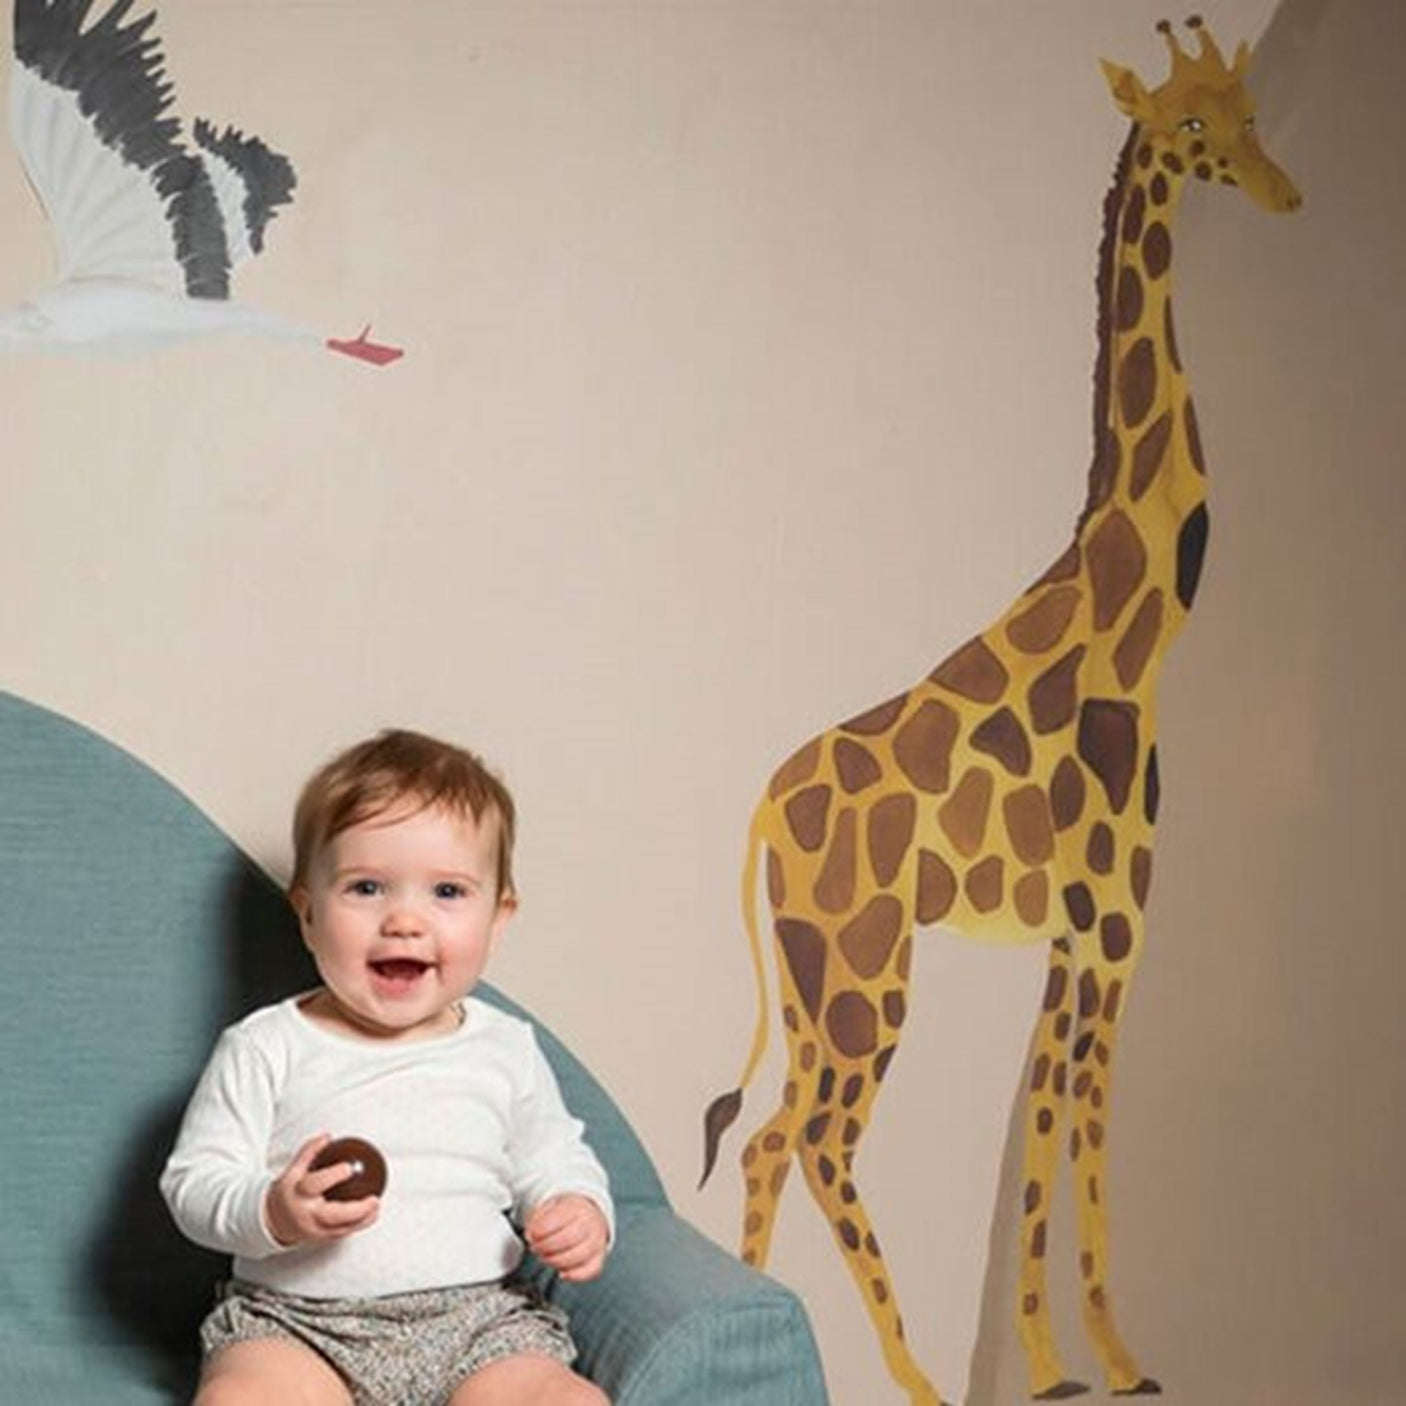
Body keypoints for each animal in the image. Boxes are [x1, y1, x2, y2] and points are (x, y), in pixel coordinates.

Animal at [701, 19, 1300, 1404]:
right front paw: (1099, 1355)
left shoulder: (1075, 933)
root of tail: (760, 813)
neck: (1138, 626)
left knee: (767, 1135)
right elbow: (1077, 1121)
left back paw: (778, 1326)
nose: (1286, 193)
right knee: (817, 1135)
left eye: (1249, 115)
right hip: (867, 971)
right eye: (1191, 129)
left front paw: (1054, 1351)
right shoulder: (1111, 921)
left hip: (819, 974)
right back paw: (910, 1375)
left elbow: (1037, 1125)